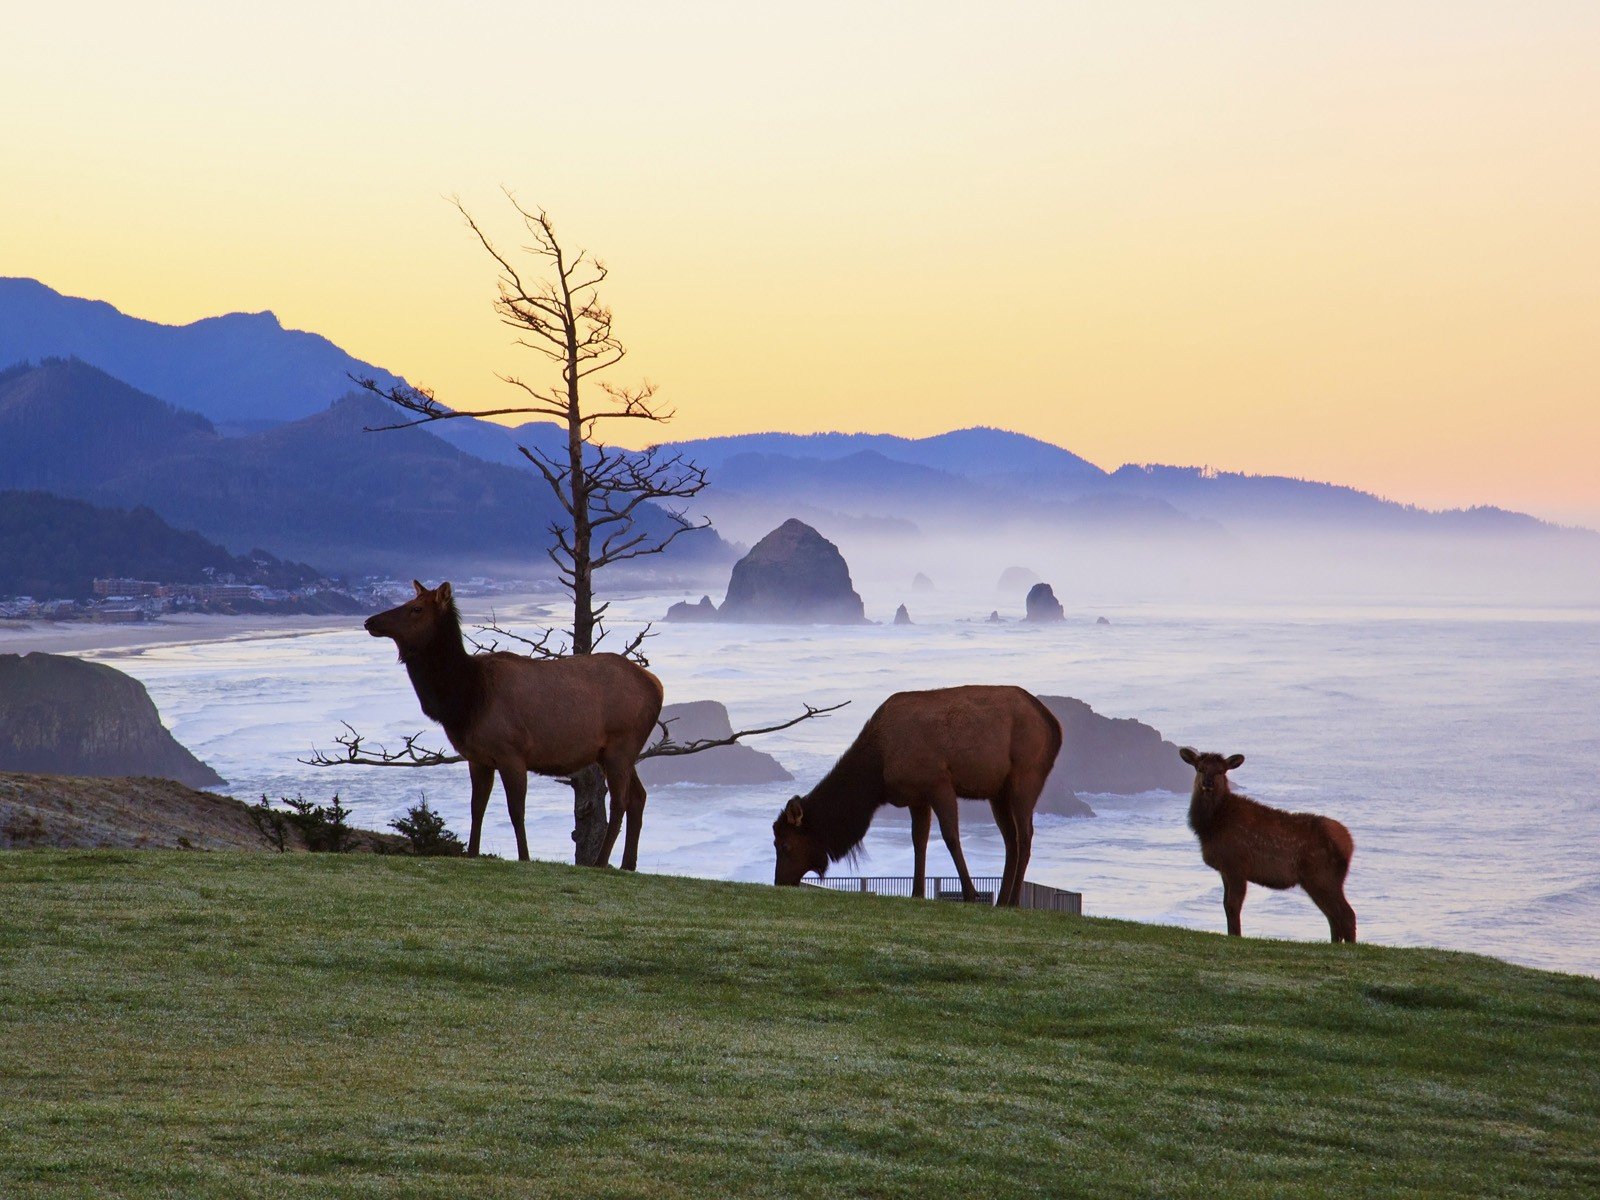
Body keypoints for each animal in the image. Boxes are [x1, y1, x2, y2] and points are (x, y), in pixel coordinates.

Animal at [364, 581, 663, 868]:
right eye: (408, 601)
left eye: (416, 609)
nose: (369, 621)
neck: (467, 701)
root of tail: (657, 686)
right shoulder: (478, 758)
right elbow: (476, 808)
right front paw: (472, 853)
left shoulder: (511, 752)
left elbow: (515, 810)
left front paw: (524, 856)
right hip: (616, 753)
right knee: (639, 796)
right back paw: (628, 864)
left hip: (621, 743)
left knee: (620, 801)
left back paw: (601, 862)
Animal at [1179, 747, 1357, 942]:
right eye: (1200, 768)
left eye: (1220, 771)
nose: (1207, 783)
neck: (1211, 827)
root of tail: (1349, 844)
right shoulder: (1225, 869)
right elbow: (1225, 904)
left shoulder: (1236, 864)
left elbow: (1233, 905)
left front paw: (1236, 935)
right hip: (1320, 880)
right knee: (1333, 916)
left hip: (1323, 876)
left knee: (1346, 914)